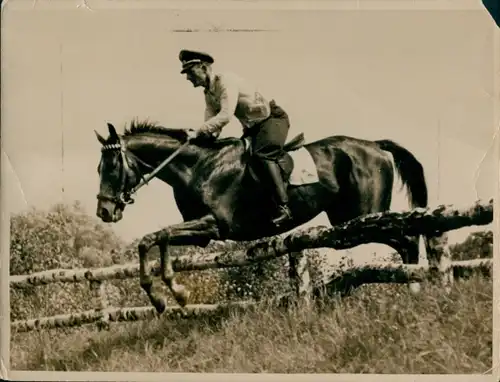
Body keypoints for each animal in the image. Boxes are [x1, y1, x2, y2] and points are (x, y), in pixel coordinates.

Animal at [95, 120, 444, 314]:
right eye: (100, 168)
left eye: (111, 167)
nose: (104, 211)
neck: (197, 167)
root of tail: (375, 145)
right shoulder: (202, 233)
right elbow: (156, 238)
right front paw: (166, 296)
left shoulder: (214, 225)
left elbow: (156, 236)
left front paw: (170, 294)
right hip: (346, 223)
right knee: (404, 238)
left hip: (364, 217)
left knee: (407, 236)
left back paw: (418, 288)